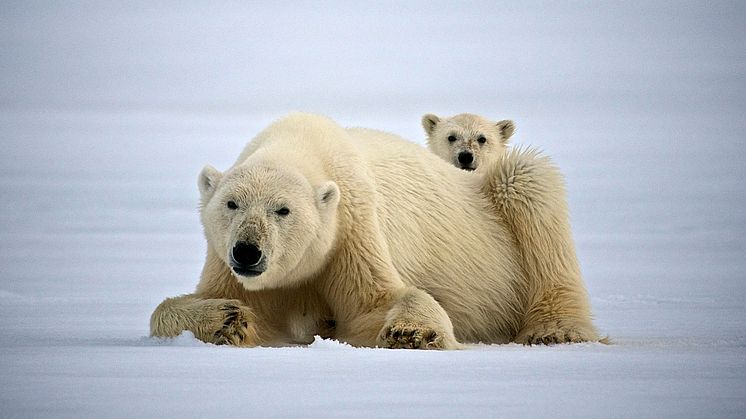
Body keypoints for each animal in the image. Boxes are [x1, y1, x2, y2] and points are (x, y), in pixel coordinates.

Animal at [151, 112, 600, 348]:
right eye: (232, 204)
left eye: (283, 210)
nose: (247, 251)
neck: (302, 143)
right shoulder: (230, 263)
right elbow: (184, 307)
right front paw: (225, 318)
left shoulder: (353, 227)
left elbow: (374, 304)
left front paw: (412, 330)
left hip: (502, 197)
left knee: (533, 192)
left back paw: (555, 331)